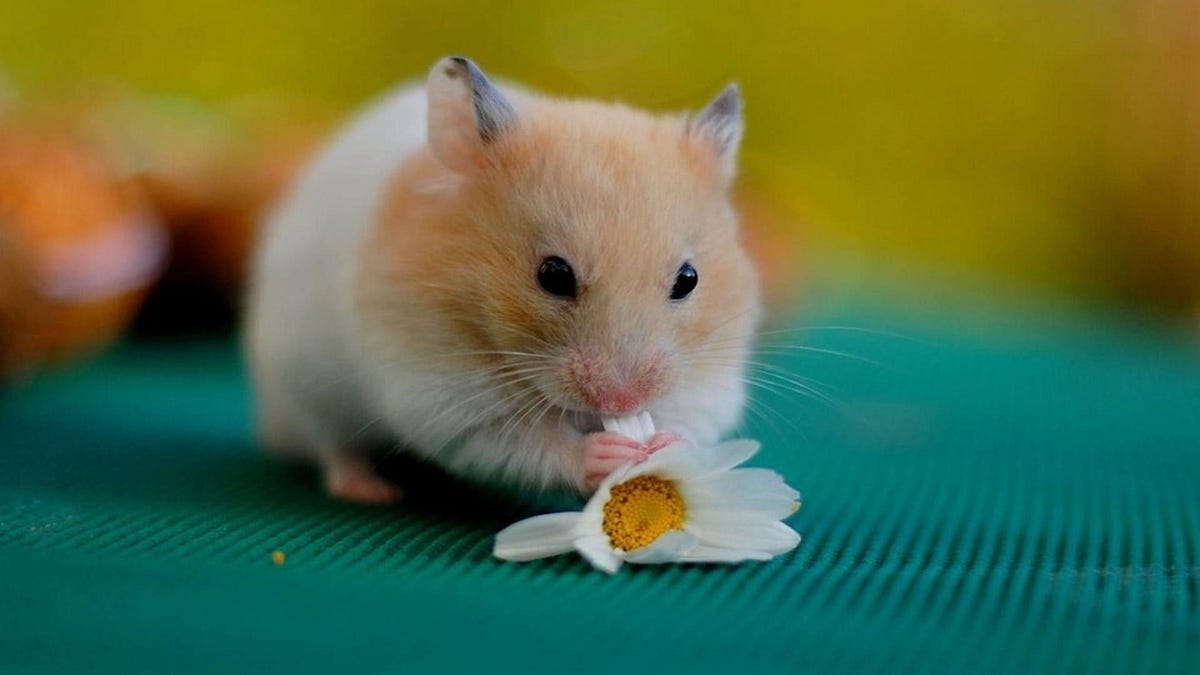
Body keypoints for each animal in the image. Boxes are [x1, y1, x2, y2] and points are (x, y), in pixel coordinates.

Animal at [245, 56, 762, 503]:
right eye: (553, 275)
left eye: (689, 279)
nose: (622, 400)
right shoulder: (443, 395)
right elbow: (526, 445)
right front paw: (605, 454)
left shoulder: (710, 377)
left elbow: (691, 419)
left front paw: (662, 447)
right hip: (303, 386)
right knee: (332, 447)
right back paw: (371, 491)